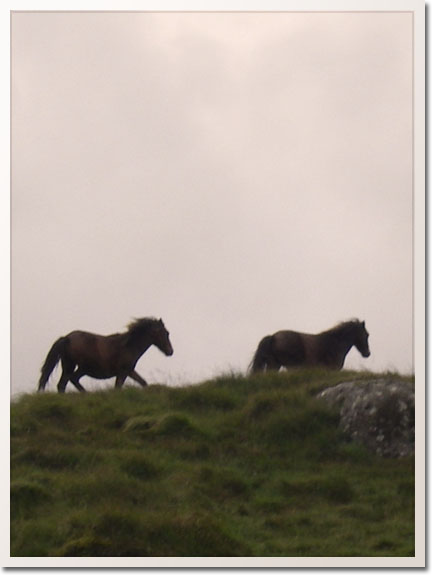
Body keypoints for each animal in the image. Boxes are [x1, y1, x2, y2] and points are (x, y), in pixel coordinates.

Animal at [37, 318, 174, 394]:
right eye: (166, 333)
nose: (170, 351)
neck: (129, 345)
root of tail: (66, 338)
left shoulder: (129, 371)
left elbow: (143, 382)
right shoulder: (124, 371)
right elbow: (119, 387)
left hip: (72, 366)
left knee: (65, 384)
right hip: (78, 367)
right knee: (68, 381)